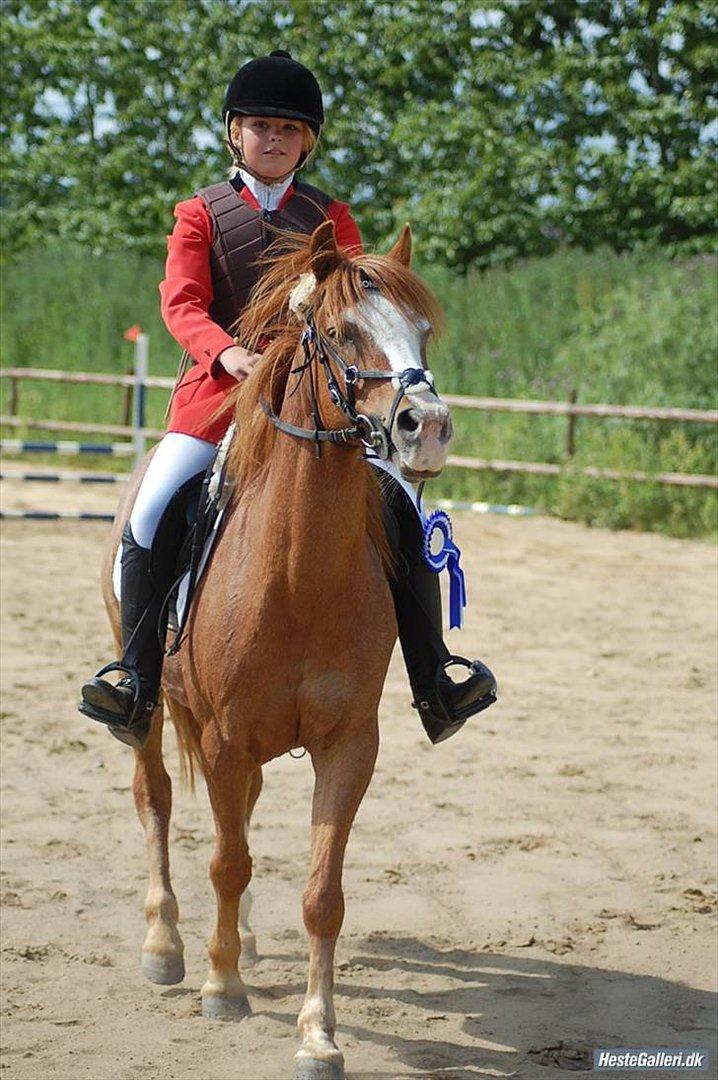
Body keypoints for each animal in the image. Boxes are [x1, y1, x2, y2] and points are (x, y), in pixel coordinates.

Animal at [99, 220, 453, 1079]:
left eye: (422, 330)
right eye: (343, 332)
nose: (425, 427)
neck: (298, 571)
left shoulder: (350, 743)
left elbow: (321, 893)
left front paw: (318, 1033)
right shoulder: (225, 737)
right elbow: (227, 861)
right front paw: (221, 988)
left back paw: (247, 938)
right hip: (148, 711)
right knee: (156, 799)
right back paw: (167, 943)